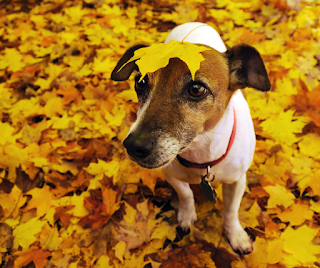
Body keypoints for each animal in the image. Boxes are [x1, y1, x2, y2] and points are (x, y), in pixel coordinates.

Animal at [110, 22, 270, 254]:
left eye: (196, 88)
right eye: (140, 82)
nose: (133, 146)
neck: (202, 157)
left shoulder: (237, 180)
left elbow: (231, 211)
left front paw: (235, 235)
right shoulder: (171, 176)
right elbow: (185, 194)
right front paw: (187, 215)